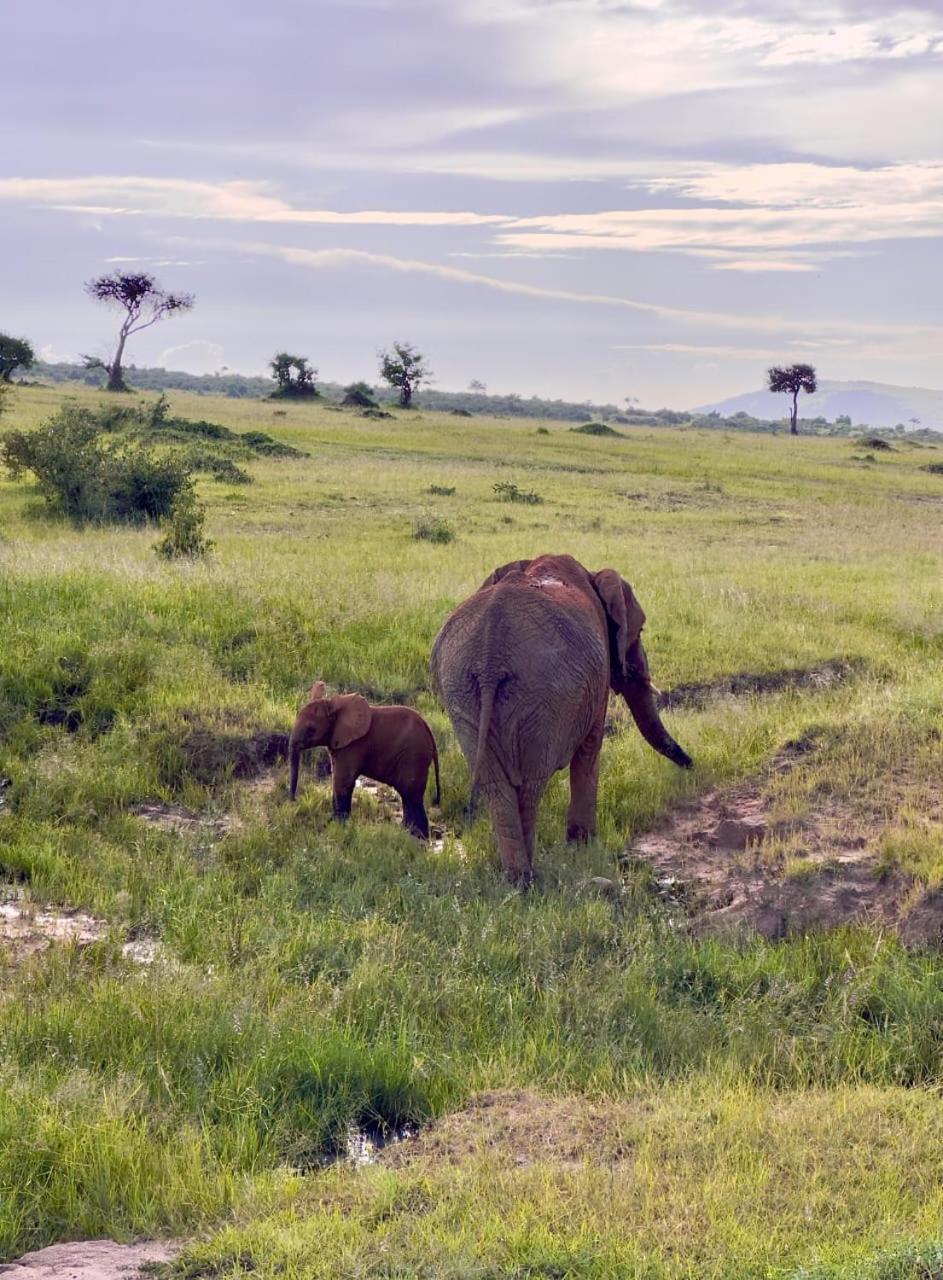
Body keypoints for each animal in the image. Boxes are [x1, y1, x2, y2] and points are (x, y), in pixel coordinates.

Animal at [286, 680, 440, 839]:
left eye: (311, 730)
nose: (294, 802)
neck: (332, 704)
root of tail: (430, 733)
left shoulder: (353, 745)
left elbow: (342, 781)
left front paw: (336, 826)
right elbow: (337, 779)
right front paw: (334, 824)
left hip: (414, 755)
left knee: (411, 793)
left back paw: (418, 835)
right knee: (407, 794)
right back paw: (407, 831)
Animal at [427, 555, 690, 885]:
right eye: (639, 632)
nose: (691, 765)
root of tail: (490, 656)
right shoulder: (598, 679)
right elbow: (590, 751)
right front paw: (584, 846)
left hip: (461, 688)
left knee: (494, 783)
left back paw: (515, 878)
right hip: (541, 695)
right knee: (531, 783)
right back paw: (529, 879)